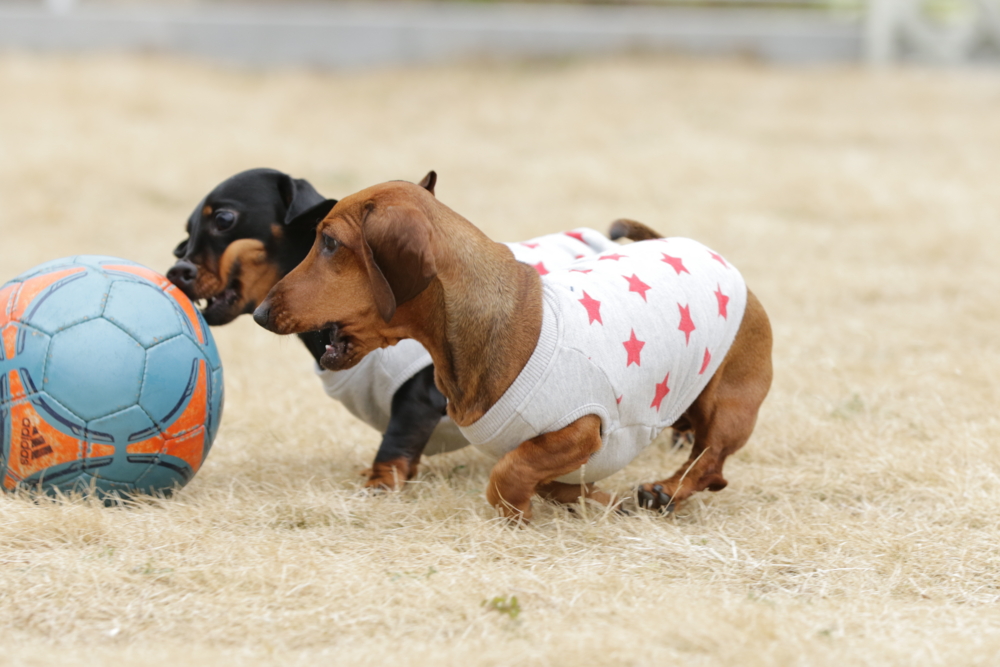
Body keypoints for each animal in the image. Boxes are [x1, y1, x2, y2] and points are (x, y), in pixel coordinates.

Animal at [256, 183, 772, 520]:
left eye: (329, 242)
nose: (259, 312)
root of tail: (692, 245)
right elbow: (556, 483)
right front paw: (594, 501)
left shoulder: (582, 427)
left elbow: (509, 471)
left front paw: (519, 511)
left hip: (725, 400)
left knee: (711, 461)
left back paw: (665, 490)